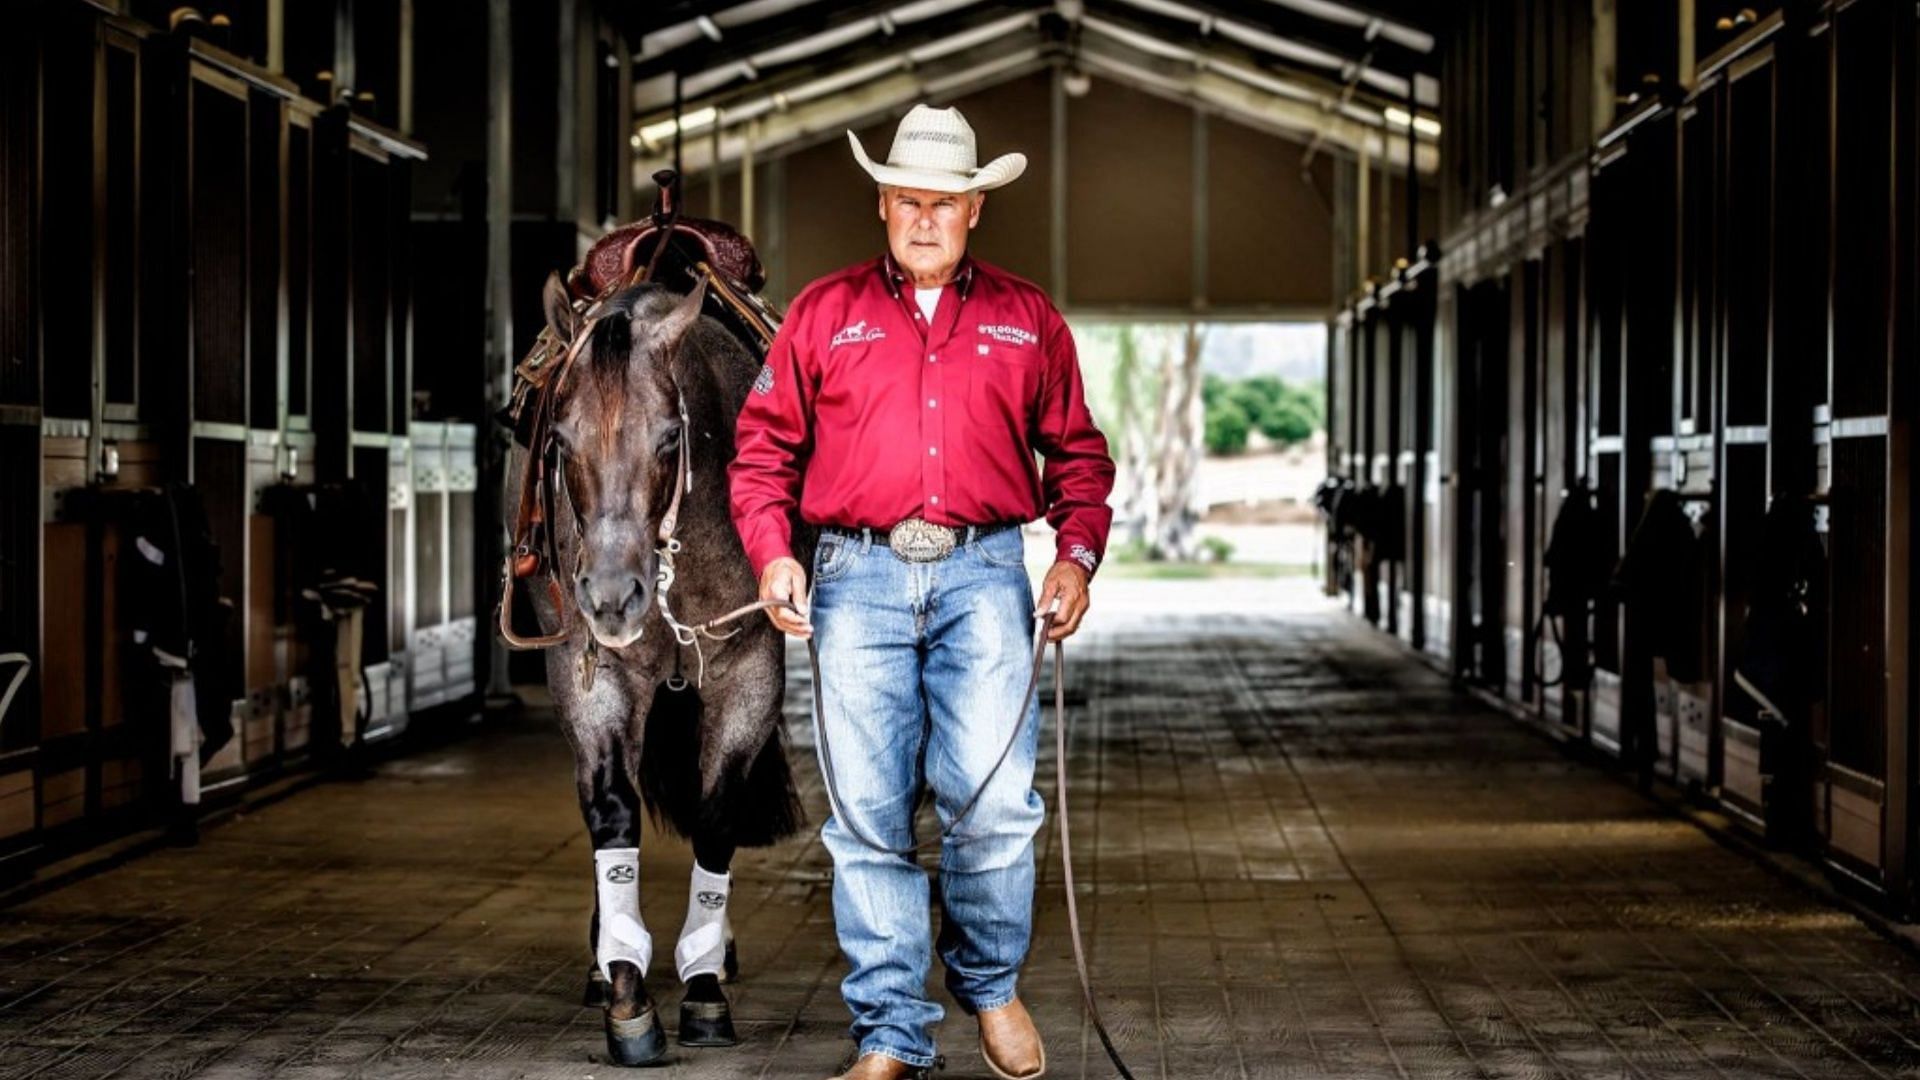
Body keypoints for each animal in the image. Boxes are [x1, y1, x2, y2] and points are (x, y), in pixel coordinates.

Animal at [514, 272, 806, 1060]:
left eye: (669, 438)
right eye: (559, 439)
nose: (613, 596)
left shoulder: (750, 669)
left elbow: (716, 815)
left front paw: (703, 987)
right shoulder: (590, 675)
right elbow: (612, 811)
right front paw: (626, 992)